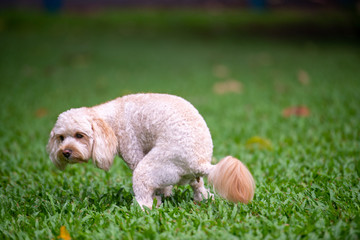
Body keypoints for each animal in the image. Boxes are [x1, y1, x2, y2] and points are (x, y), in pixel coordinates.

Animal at [47, 93, 256, 209]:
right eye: (61, 138)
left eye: (80, 135)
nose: (65, 152)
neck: (108, 117)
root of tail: (199, 162)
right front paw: (165, 193)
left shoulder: (132, 149)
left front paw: (160, 196)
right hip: (189, 175)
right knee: (199, 187)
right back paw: (200, 199)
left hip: (149, 168)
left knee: (144, 199)